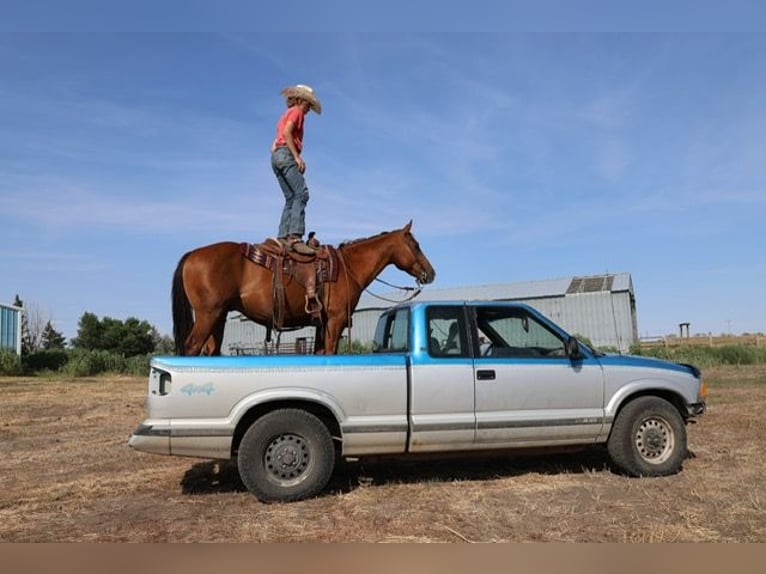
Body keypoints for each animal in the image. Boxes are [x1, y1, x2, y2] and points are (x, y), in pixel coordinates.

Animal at [172, 221, 436, 356]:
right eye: (415, 245)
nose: (431, 273)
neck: (348, 267)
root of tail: (192, 254)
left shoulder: (322, 324)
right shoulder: (336, 321)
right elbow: (330, 353)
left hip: (219, 316)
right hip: (208, 315)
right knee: (192, 347)